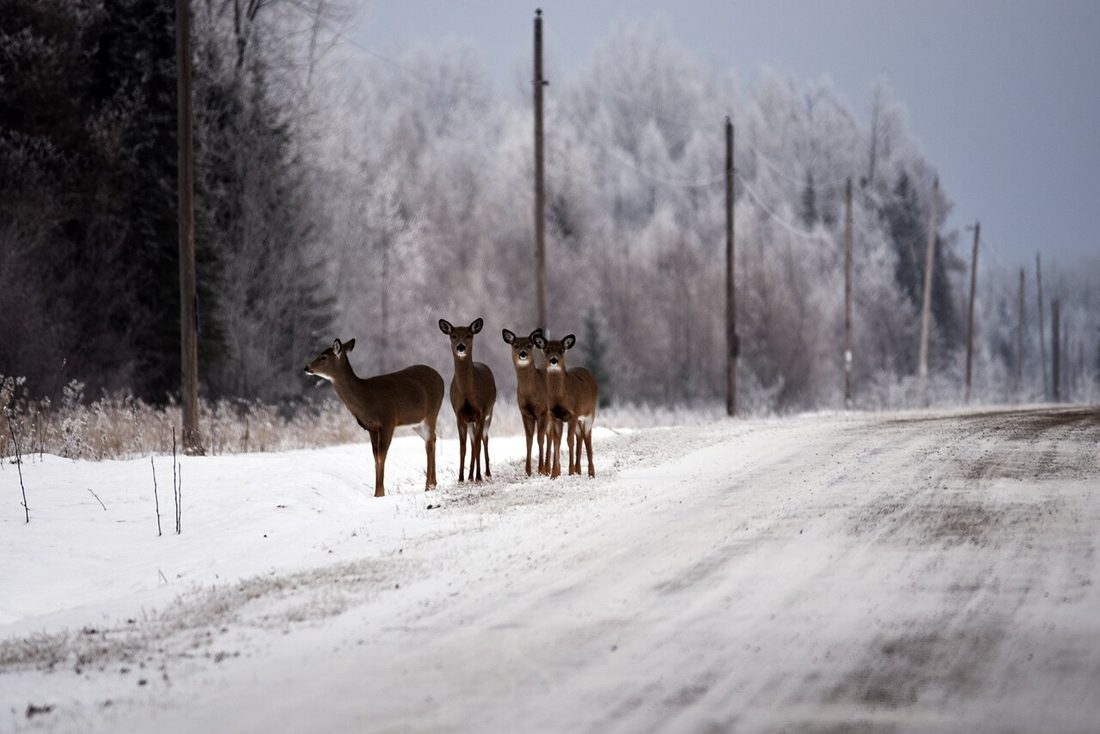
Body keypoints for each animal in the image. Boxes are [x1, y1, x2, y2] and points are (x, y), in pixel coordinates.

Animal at [304, 338, 444, 498]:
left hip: (432, 412)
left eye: (323, 357)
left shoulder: (388, 422)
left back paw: (428, 485)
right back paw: (433, 484)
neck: (366, 398)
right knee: (431, 440)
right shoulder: (371, 428)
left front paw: (380, 492)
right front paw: (376, 493)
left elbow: (381, 456)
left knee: (430, 441)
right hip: (417, 423)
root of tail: (441, 378)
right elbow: (375, 457)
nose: (307, 367)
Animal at [439, 318, 497, 483]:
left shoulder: (481, 412)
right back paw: (470, 476)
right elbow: (462, 447)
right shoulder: (459, 415)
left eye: (469, 335)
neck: (466, 394)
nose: (461, 346)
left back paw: (486, 473)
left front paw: (478, 476)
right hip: (471, 421)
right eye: (453, 335)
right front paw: (461, 478)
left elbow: (477, 445)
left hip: (489, 413)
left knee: (484, 439)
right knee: (472, 443)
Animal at [502, 327, 552, 476]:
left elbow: (540, 439)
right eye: (515, 345)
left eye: (530, 345)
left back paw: (548, 468)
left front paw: (540, 469)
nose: (522, 353)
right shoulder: (525, 413)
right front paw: (528, 470)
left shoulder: (542, 411)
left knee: (550, 437)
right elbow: (528, 440)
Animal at [532, 333, 599, 479]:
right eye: (547, 350)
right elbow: (557, 441)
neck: (561, 398)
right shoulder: (555, 416)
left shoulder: (573, 413)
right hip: (579, 419)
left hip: (590, 413)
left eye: (561, 350)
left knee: (587, 437)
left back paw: (591, 472)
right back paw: (579, 470)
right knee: (580, 436)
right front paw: (554, 474)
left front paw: (570, 471)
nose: (554, 360)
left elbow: (569, 440)